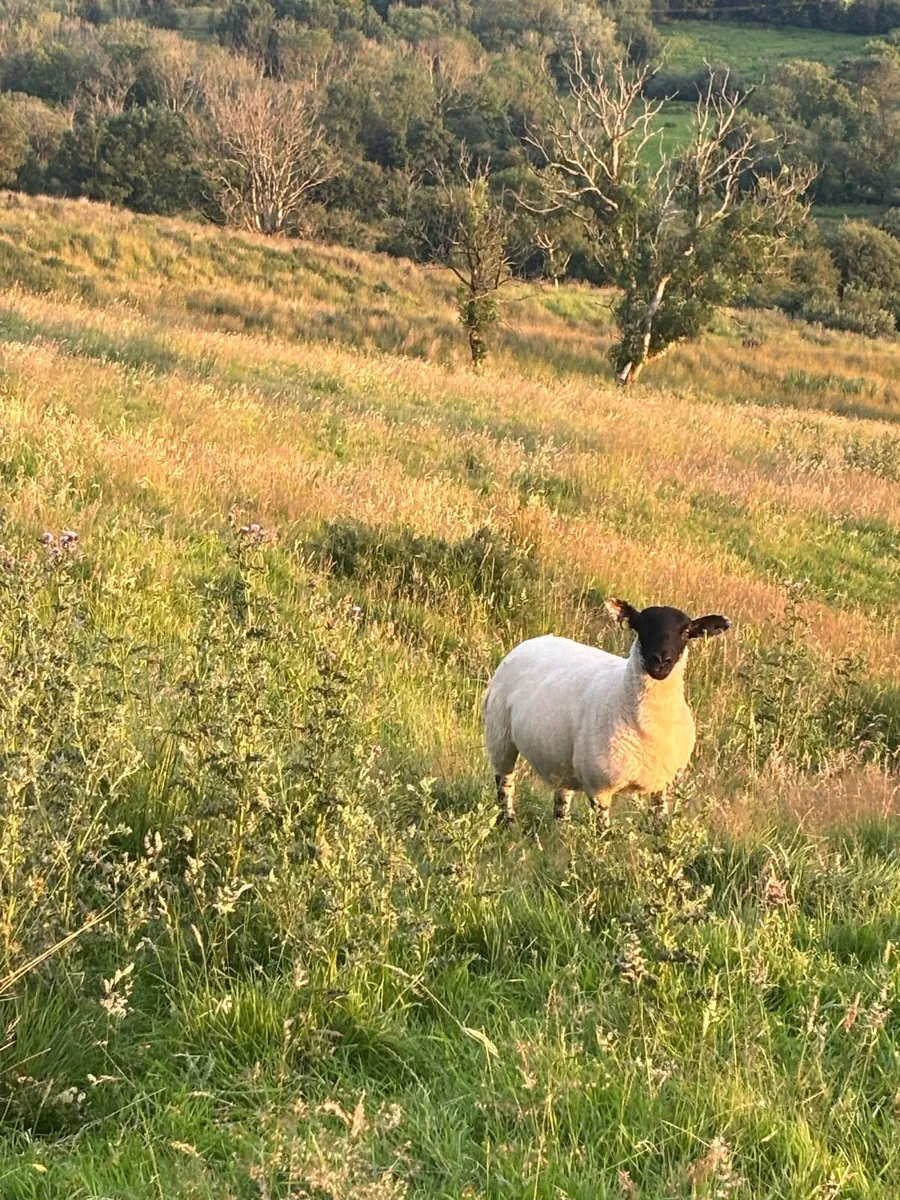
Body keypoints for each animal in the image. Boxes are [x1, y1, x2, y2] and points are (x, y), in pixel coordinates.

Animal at [483, 599, 730, 826]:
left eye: (686, 631)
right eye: (640, 626)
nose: (660, 660)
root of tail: (535, 640)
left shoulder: (661, 784)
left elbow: (660, 825)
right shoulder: (599, 785)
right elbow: (603, 833)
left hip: (563, 757)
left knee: (562, 797)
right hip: (500, 735)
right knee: (505, 783)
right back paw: (509, 821)